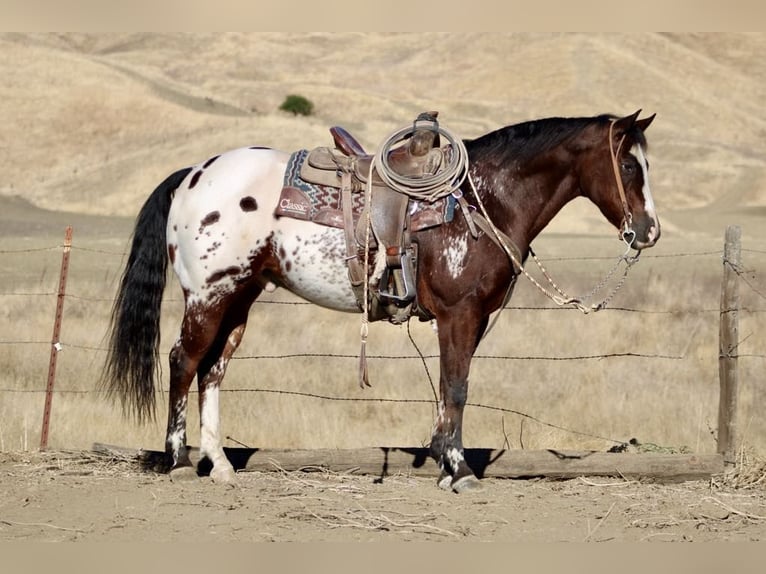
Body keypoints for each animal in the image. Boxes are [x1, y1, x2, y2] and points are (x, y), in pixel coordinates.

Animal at [105, 111, 664, 496]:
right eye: (629, 164)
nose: (649, 231)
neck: (483, 199)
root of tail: (195, 173)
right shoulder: (460, 315)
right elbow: (457, 388)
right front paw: (459, 470)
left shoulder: (469, 320)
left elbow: (448, 388)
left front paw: (444, 461)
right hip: (208, 294)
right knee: (184, 360)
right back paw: (179, 462)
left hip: (239, 297)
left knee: (214, 368)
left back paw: (219, 464)